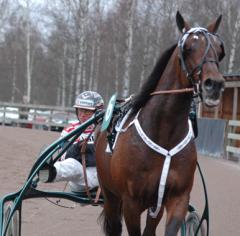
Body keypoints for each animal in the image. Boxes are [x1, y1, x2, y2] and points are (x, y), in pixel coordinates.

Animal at [95, 12, 225, 236]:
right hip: (110, 194)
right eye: (187, 48)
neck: (164, 134)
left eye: (219, 49)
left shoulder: (176, 198)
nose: (214, 85)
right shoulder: (131, 203)